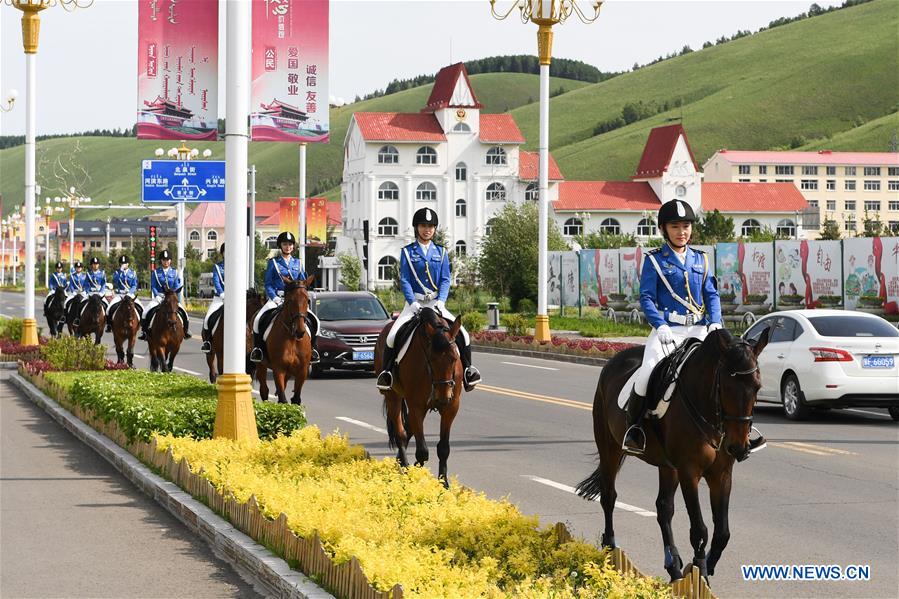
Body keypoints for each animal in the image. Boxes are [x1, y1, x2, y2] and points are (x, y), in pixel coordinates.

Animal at [256, 276, 316, 404]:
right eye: (290, 300)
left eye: (307, 300)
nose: (300, 331)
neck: (292, 337)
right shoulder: (279, 369)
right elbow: (283, 399)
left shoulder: (302, 371)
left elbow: (296, 399)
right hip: (261, 364)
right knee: (264, 390)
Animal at [374, 308, 464, 490]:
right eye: (432, 359)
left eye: (453, 358)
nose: (443, 397)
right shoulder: (416, 406)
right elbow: (422, 450)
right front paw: (416, 477)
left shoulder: (451, 407)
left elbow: (443, 448)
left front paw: (444, 483)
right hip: (393, 397)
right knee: (401, 433)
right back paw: (404, 465)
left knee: (408, 428)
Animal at [580, 328, 768, 584]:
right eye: (726, 386)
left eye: (757, 387)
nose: (738, 447)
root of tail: (613, 361)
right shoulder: (689, 472)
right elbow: (699, 528)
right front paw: (700, 574)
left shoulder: (721, 474)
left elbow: (722, 533)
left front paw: (705, 568)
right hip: (610, 448)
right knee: (609, 496)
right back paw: (610, 549)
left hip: (668, 466)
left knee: (664, 507)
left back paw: (674, 566)